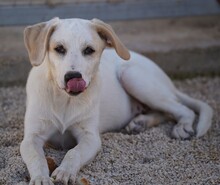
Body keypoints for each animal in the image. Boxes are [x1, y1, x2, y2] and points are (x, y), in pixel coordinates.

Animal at [20, 17, 213, 184]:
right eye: (59, 48)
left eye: (89, 50)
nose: (73, 77)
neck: (64, 100)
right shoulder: (31, 137)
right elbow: (37, 157)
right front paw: (40, 178)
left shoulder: (90, 137)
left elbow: (74, 153)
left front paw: (65, 171)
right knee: (165, 112)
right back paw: (140, 122)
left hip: (132, 76)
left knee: (181, 109)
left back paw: (182, 127)